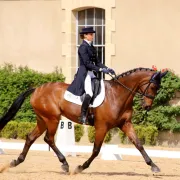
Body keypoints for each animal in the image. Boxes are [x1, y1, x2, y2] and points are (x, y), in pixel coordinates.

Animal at [0, 67, 167, 173]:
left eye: (157, 88)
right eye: (153, 87)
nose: (147, 106)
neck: (118, 94)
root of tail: (37, 89)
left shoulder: (125, 124)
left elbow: (138, 144)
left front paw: (153, 166)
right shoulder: (101, 127)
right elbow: (96, 150)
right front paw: (81, 167)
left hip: (43, 119)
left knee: (31, 137)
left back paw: (16, 161)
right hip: (52, 119)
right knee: (49, 139)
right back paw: (65, 164)